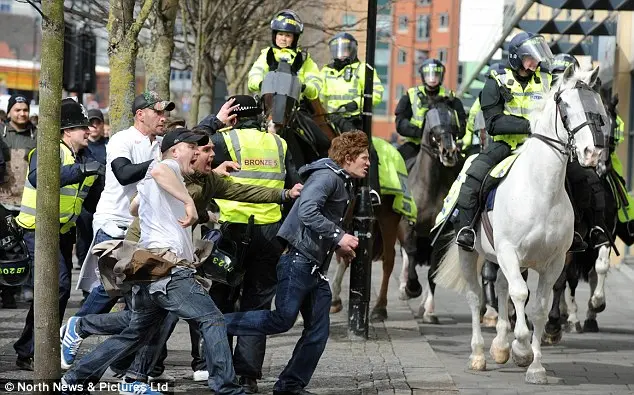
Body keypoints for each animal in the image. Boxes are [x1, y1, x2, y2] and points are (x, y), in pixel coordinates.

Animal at [432, 66, 604, 386]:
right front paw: (521, 350)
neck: (541, 189)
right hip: (471, 253)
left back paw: (499, 346)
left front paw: (535, 366)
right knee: (476, 297)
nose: (592, 153)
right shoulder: (509, 252)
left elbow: (538, 307)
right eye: (565, 106)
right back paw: (478, 355)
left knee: (501, 288)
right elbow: (521, 295)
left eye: (598, 105)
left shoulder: (553, 262)